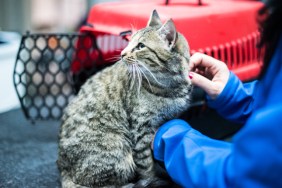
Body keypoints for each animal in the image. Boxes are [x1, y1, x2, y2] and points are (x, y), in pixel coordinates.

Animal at [58, 9, 193, 187]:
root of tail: (63, 167)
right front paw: (151, 180)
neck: (169, 86)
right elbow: (146, 164)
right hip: (117, 149)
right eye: (130, 42)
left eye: (141, 46)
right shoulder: (142, 129)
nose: (122, 54)